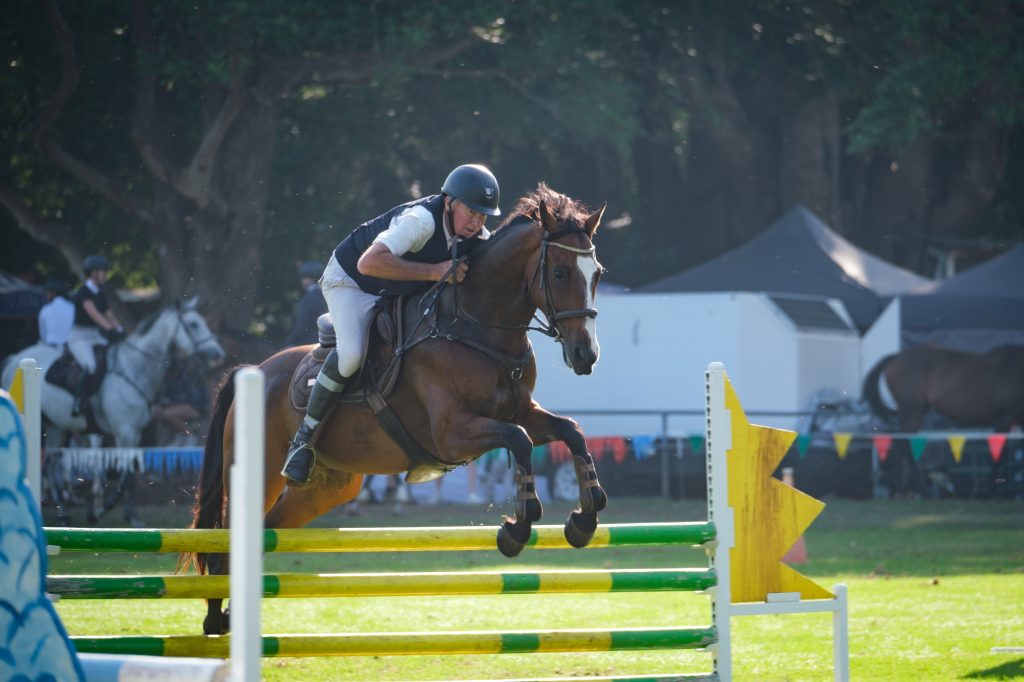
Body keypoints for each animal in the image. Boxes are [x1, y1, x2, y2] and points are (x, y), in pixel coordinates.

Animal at [2, 297, 225, 523]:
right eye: (194, 324)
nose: (217, 354)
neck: (134, 368)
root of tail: (16, 358)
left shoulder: (135, 432)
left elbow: (131, 473)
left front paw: (130, 515)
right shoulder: (124, 430)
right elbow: (125, 473)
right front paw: (102, 510)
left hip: (56, 425)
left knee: (51, 462)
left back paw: (63, 512)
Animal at [185, 183, 608, 635]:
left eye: (597, 273)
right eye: (560, 273)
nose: (585, 356)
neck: (474, 327)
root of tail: (254, 370)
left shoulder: (521, 410)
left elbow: (570, 430)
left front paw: (584, 519)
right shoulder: (452, 433)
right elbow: (521, 440)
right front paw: (518, 526)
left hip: (325, 489)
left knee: (264, 534)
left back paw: (228, 616)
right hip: (260, 471)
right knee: (223, 547)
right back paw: (215, 619)